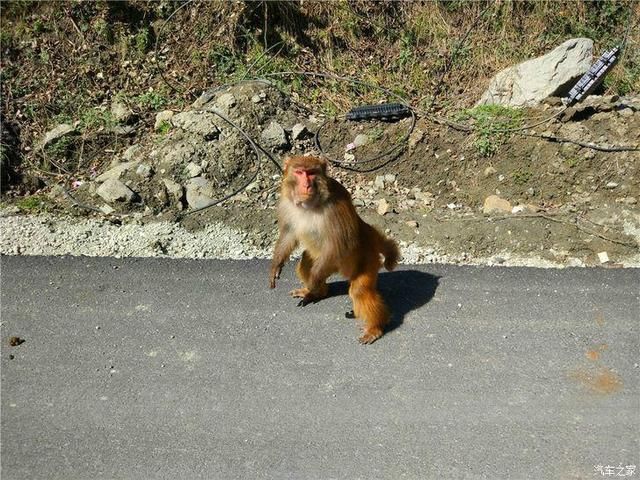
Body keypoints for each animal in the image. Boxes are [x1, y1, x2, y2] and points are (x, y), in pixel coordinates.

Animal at [268, 156, 400, 344]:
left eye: (311, 173)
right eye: (299, 172)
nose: (306, 185)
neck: (309, 205)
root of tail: (367, 231)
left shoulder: (336, 205)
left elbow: (341, 244)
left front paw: (312, 284)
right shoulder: (286, 203)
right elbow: (288, 233)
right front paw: (276, 265)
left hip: (368, 258)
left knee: (359, 291)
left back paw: (375, 327)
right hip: (325, 262)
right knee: (306, 262)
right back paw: (318, 292)